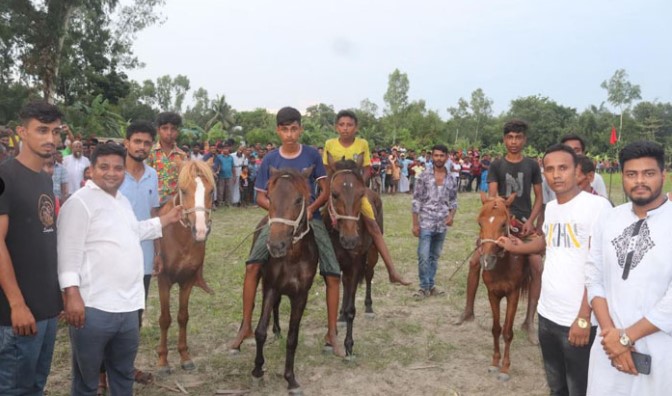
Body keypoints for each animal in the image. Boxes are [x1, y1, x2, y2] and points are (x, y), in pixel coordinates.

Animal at [156, 161, 214, 374]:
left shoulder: (187, 280)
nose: (201, 231)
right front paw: (163, 362)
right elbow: (165, 319)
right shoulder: (163, 280)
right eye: (183, 189)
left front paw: (185, 357)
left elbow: (182, 317)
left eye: (211, 191)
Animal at [251, 166, 318, 392]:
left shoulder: (300, 295)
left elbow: (292, 338)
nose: (276, 245)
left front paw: (290, 378)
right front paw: (257, 369)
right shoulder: (270, 287)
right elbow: (260, 331)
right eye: (270, 198)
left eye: (298, 199)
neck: (292, 257)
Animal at [324, 155, 380, 358]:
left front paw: (348, 345)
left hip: (372, 254)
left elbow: (351, 309)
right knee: (346, 284)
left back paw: (369, 307)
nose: (350, 240)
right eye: (334, 194)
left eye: (360, 194)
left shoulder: (356, 264)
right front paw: (330, 339)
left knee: (369, 275)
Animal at [476, 193, 532, 382]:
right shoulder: (492, 294)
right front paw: (495, 362)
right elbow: (496, 329)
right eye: (480, 223)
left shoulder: (513, 295)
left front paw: (505, 368)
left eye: (503, 224)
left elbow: (507, 332)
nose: (487, 260)